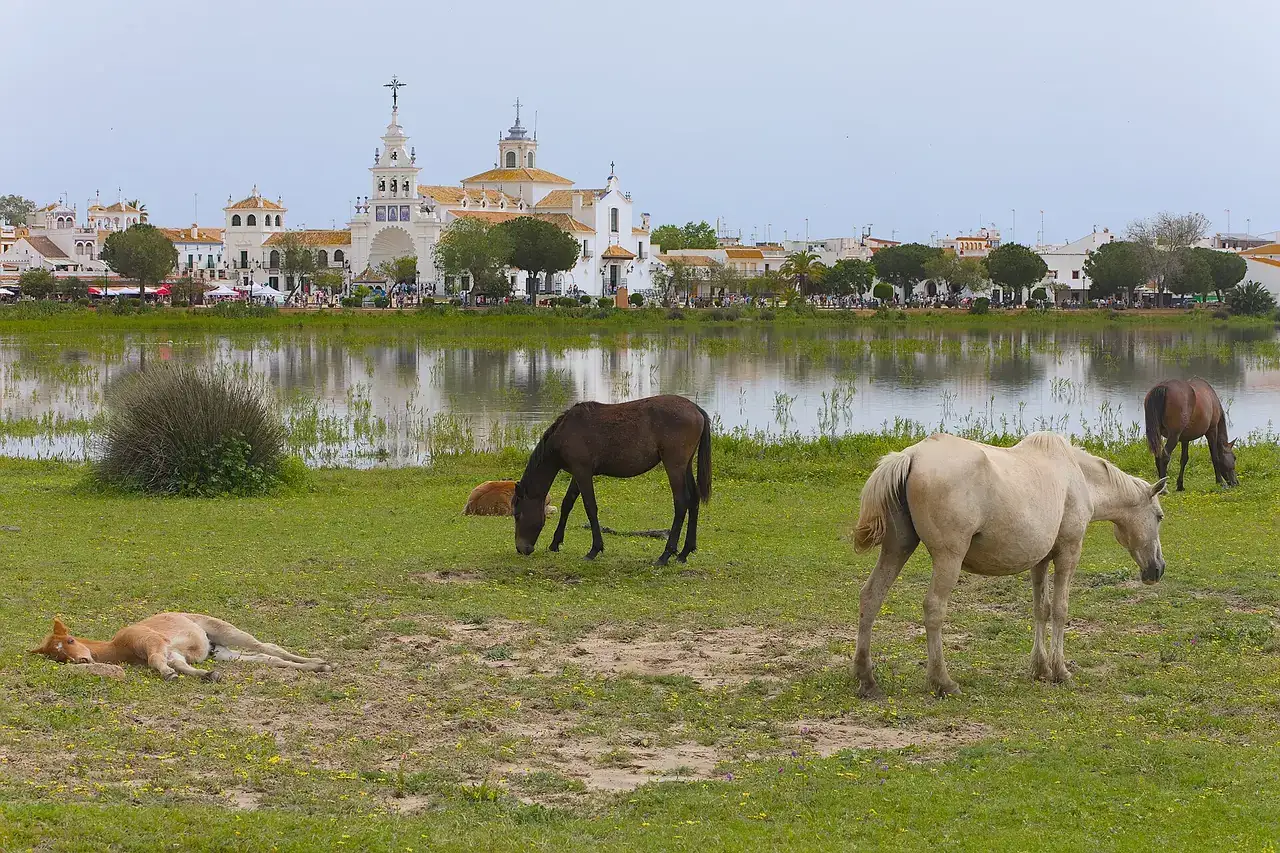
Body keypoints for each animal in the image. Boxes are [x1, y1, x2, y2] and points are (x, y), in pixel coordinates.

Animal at [511, 395, 712, 564]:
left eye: (517, 514)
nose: (521, 548)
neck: (566, 432)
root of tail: (695, 408)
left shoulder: (582, 472)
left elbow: (590, 507)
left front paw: (594, 549)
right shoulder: (578, 473)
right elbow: (567, 503)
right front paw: (555, 543)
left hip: (674, 466)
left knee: (681, 503)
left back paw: (665, 555)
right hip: (685, 466)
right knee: (694, 500)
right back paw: (684, 552)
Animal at [852, 432, 1166, 698]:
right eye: (1159, 516)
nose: (1157, 568)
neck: (1076, 475)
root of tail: (912, 455)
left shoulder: (1040, 561)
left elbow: (1042, 609)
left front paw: (1040, 668)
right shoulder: (1068, 553)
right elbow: (1060, 610)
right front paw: (1060, 671)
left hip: (897, 549)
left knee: (871, 596)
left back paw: (867, 680)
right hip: (947, 558)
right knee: (933, 608)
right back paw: (943, 681)